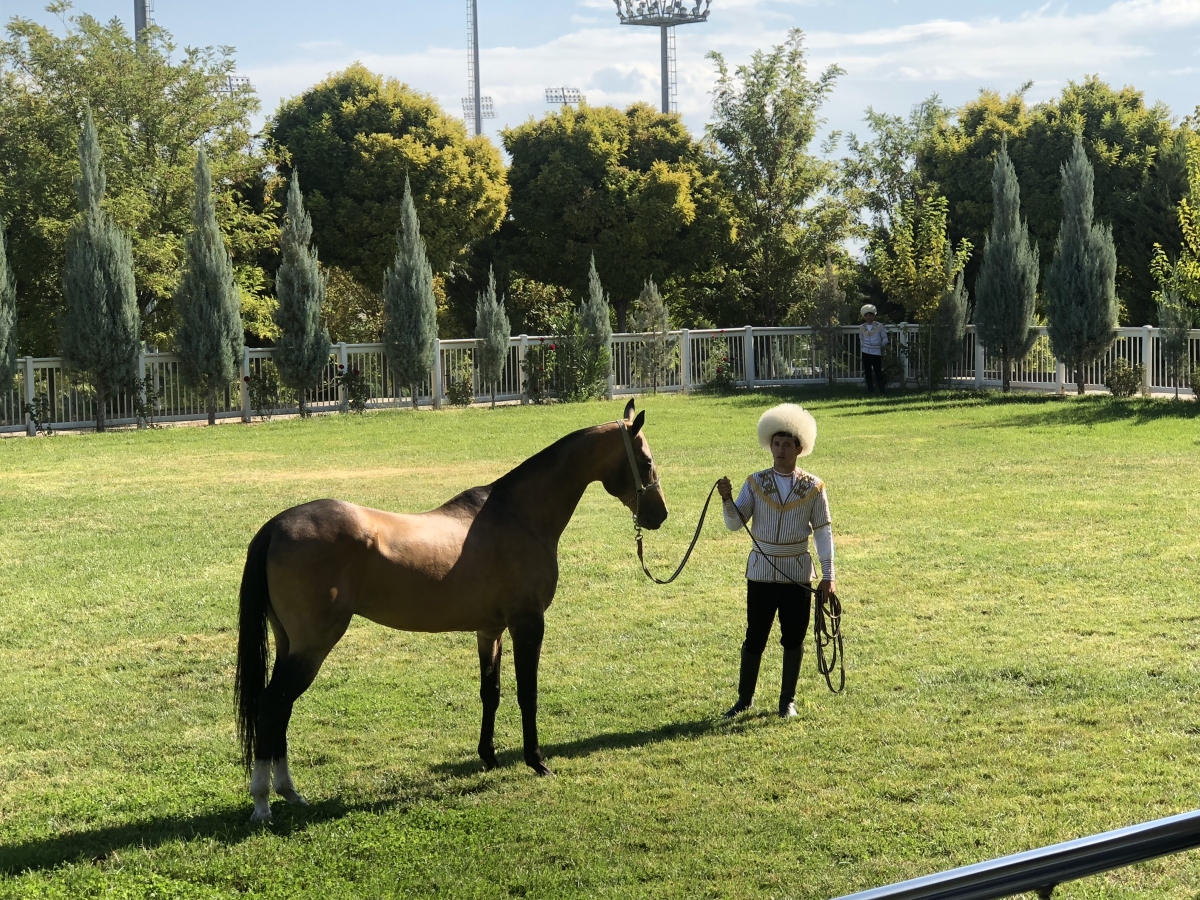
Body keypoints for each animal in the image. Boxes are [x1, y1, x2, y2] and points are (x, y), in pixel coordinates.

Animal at [231, 400, 667, 825]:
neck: (518, 516)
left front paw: (489, 757)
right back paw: (263, 803)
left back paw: (289, 793)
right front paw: (537, 762)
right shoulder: (528, 625)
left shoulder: (490, 631)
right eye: (645, 461)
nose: (659, 515)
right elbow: (527, 693)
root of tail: (275, 526)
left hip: (290, 645)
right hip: (312, 647)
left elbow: (490, 692)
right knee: (272, 705)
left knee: (281, 708)